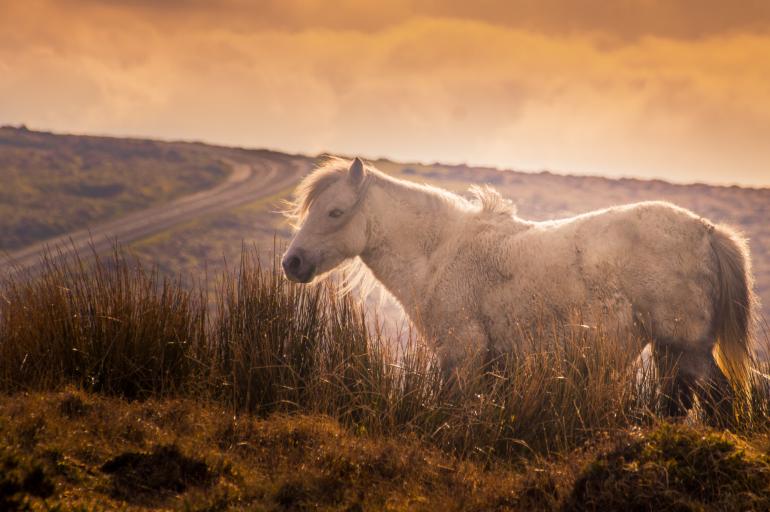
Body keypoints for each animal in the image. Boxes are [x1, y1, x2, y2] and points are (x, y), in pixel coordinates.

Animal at [280, 157, 752, 416]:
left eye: (335, 211)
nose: (292, 263)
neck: (442, 252)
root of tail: (707, 231)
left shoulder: (462, 355)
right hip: (672, 352)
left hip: (688, 350)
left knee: (720, 401)